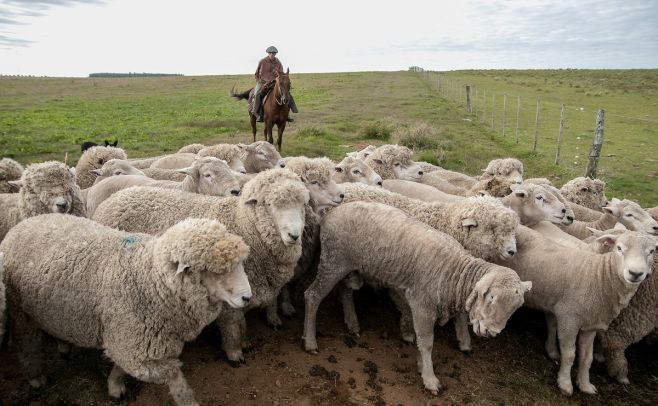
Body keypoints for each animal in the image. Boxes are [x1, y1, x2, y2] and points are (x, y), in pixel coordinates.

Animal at [0, 214, 251, 404]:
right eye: (214, 270)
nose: (247, 297)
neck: (149, 278)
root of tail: (24, 223)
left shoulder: (131, 340)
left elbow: (121, 366)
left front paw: (114, 386)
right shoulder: (134, 344)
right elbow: (174, 377)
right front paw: (188, 400)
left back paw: (63, 345)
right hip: (19, 311)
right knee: (27, 342)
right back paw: (36, 377)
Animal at [93, 167, 310, 364]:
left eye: (302, 204)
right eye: (270, 204)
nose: (294, 235)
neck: (243, 223)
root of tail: (116, 197)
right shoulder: (228, 296)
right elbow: (235, 326)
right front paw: (235, 352)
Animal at [304, 202, 532, 394]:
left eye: (516, 308)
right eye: (490, 296)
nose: (491, 332)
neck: (454, 270)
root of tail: (331, 212)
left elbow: (420, 339)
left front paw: (421, 365)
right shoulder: (422, 306)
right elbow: (427, 342)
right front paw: (430, 379)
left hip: (349, 266)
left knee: (346, 290)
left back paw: (352, 324)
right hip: (333, 260)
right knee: (312, 296)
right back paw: (310, 341)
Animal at [500, 225, 652, 394]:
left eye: (652, 251)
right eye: (619, 248)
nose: (635, 273)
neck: (599, 276)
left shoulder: (591, 325)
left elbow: (587, 358)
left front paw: (585, 384)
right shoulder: (569, 319)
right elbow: (569, 355)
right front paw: (565, 383)